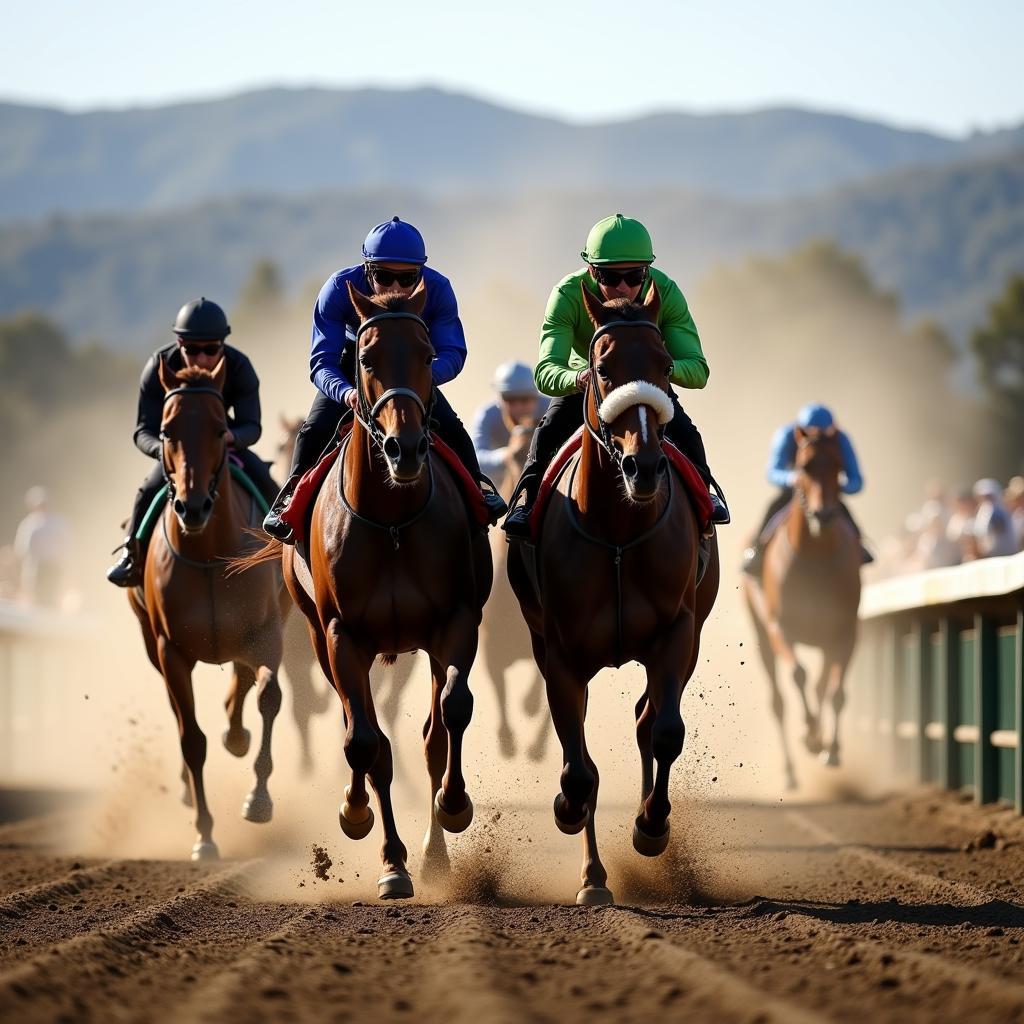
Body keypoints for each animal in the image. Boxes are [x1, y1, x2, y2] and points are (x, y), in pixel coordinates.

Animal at [130, 356, 288, 860]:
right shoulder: (170, 651)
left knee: (241, 684)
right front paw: (204, 835)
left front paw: (258, 800)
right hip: (151, 643)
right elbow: (190, 738)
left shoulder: (266, 632)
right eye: (166, 430)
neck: (206, 553)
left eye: (222, 429)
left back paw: (236, 737)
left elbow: (268, 696)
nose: (193, 506)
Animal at [235, 282, 491, 897]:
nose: (405, 448)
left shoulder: (455, 623)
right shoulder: (340, 636)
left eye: (427, 354)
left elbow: (451, 713)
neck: (391, 521)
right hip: (317, 636)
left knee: (426, 735)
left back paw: (434, 852)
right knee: (362, 733)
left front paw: (453, 806)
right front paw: (383, 854)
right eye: (367, 358)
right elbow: (365, 744)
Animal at [505, 280, 720, 905]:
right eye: (601, 369)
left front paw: (651, 827)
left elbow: (665, 731)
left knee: (648, 718)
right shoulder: (559, 651)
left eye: (666, 364)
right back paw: (594, 877)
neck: (619, 531)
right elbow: (578, 766)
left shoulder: (677, 632)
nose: (643, 465)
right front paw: (567, 811)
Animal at [745, 423, 864, 790]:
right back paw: (790, 771)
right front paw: (811, 733)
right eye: (804, 466)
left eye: (838, 466)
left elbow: (836, 691)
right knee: (778, 701)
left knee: (822, 686)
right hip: (760, 634)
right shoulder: (779, 626)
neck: (814, 555)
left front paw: (831, 748)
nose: (823, 514)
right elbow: (798, 673)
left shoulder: (844, 629)